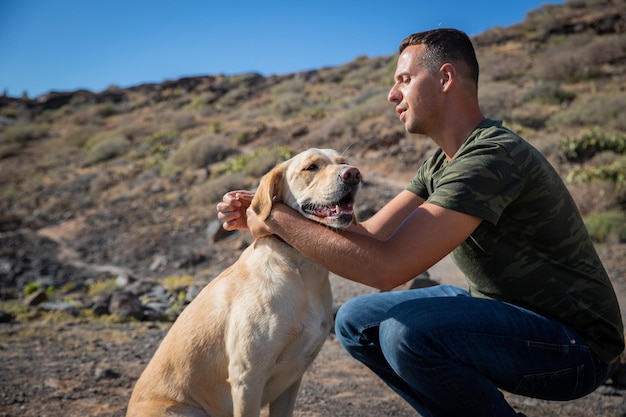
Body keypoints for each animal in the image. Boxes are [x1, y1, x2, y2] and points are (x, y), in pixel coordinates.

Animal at [127, 148, 360, 416]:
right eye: (311, 167)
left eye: (343, 162)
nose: (353, 174)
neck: (300, 271)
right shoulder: (247, 378)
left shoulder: (293, 378)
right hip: (186, 410)